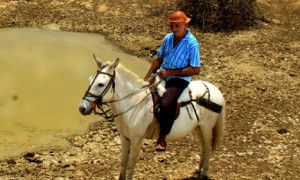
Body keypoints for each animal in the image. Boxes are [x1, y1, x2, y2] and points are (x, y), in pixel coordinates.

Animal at [79, 55, 225, 179]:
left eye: (101, 84)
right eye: (90, 80)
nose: (82, 108)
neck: (134, 104)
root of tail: (214, 90)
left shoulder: (137, 140)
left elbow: (131, 164)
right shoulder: (124, 138)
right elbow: (123, 162)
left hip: (206, 127)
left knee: (207, 146)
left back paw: (204, 172)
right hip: (198, 127)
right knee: (203, 146)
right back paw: (198, 169)